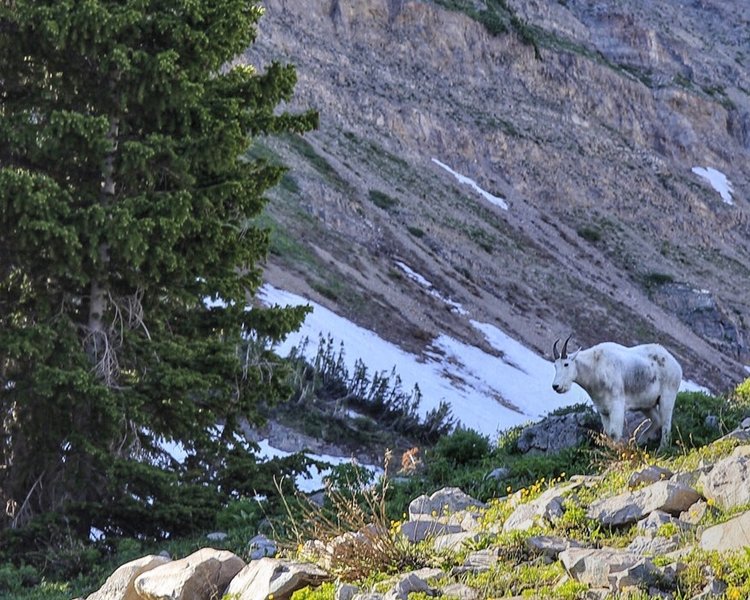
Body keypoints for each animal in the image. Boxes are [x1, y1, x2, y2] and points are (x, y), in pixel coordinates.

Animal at [548, 338, 684, 450]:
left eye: (566, 364)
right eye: (555, 365)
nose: (556, 386)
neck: (595, 368)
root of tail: (677, 366)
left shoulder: (617, 406)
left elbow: (614, 433)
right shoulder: (603, 410)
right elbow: (608, 433)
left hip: (667, 397)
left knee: (666, 424)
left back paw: (662, 448)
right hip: (647, 405)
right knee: (657, 420)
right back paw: (640, 441)